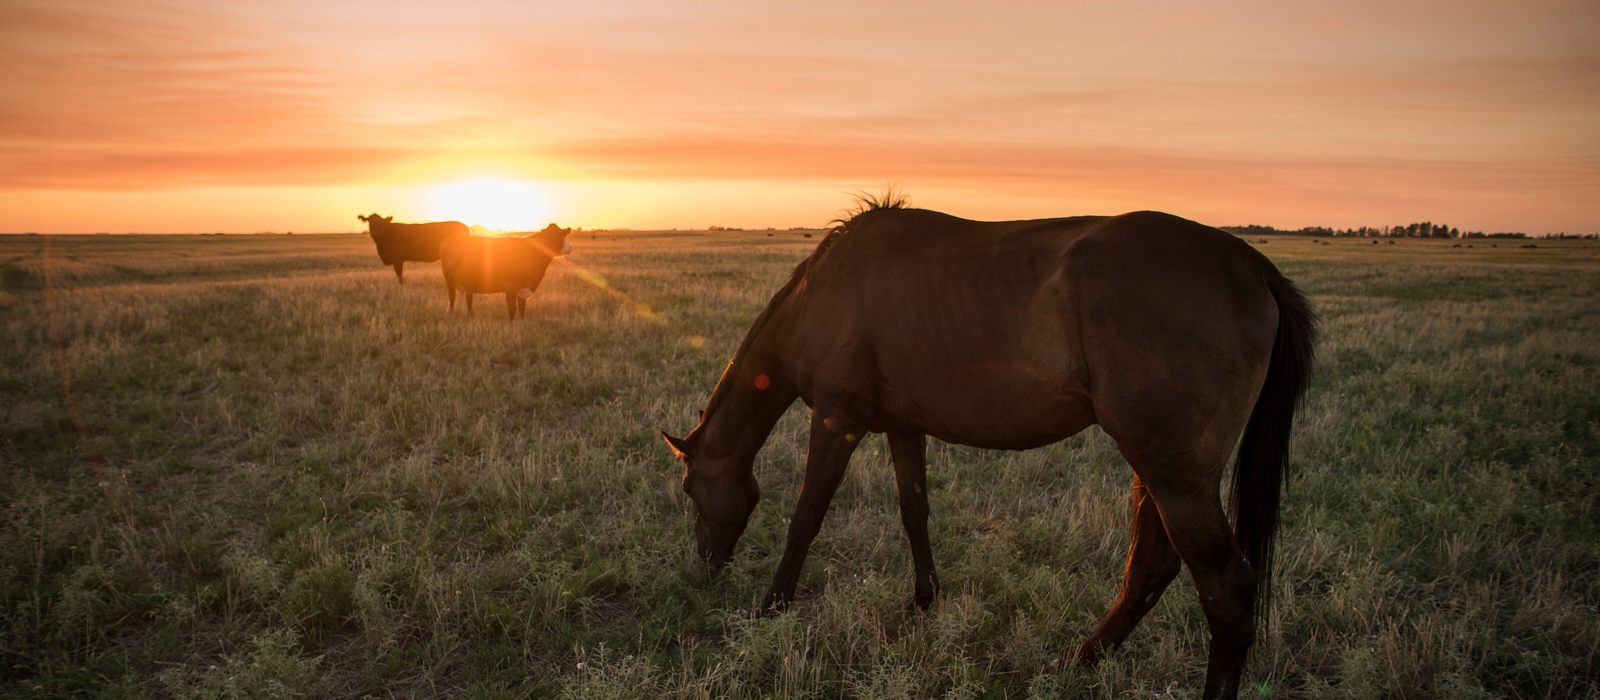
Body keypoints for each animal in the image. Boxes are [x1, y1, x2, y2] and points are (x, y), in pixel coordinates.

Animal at [441, 225, 579, 321]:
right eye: (561, 235)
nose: (571, 247)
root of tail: (454, 235)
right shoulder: (510, 287)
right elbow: (512, 309)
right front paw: (511, 326)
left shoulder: (523, 288)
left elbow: (522, 308)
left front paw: (523, 323)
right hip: (449, 278)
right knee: (452, 297)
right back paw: (451, 314)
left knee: (469, 299)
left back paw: (471, 315)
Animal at [662, 202, 1312, 700]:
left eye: (691, 488)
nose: (705, 564)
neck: (821, 294)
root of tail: (1253, 267)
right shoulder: (903, 426)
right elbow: (914, 511)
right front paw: (925, 601)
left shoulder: (835, 421)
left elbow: (805, 519)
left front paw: (772, 606)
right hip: (1156, 470)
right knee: (1150, 567)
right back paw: (1079, 661)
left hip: (1176, 477)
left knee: (1225, 589)